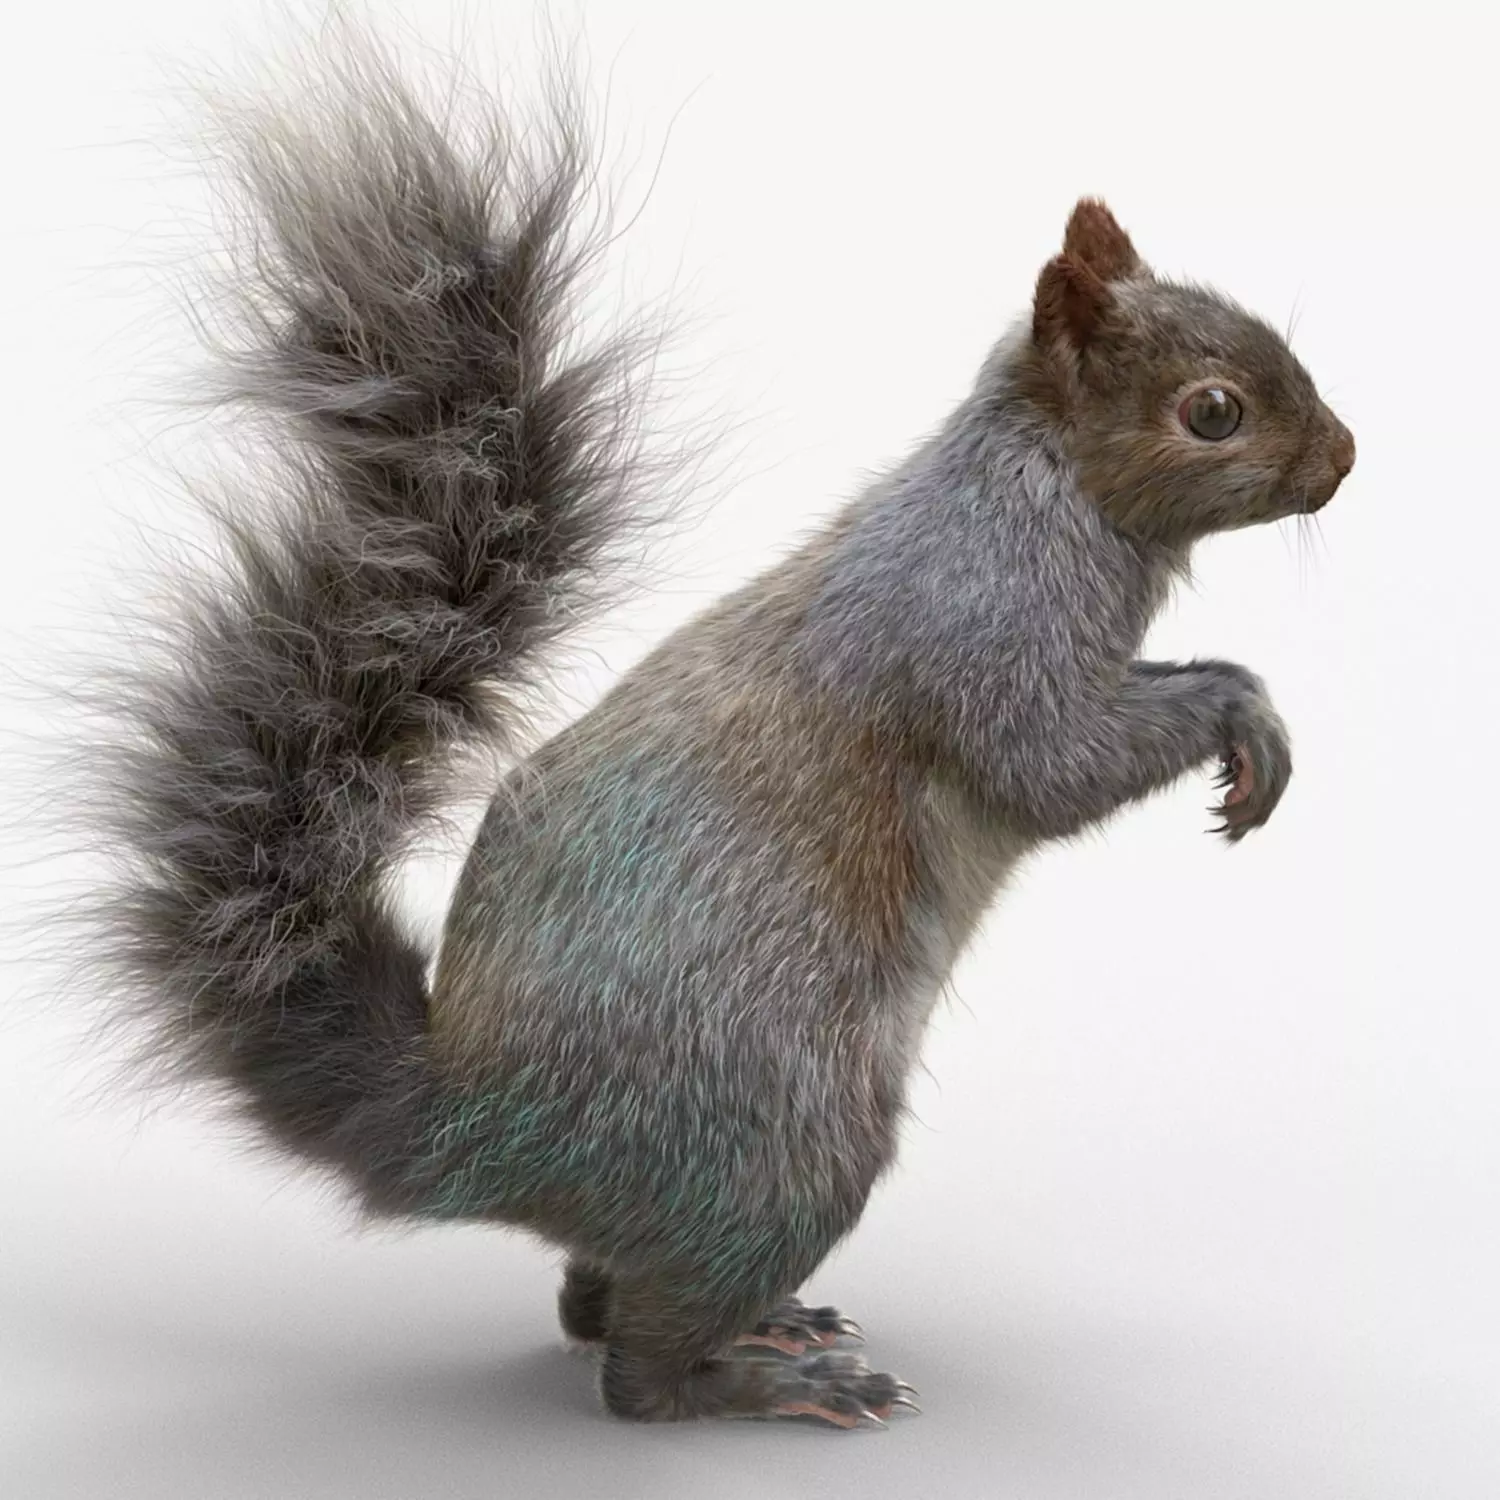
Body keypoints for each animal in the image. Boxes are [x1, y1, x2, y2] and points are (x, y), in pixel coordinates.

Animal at [77, 36, 1354, 1432]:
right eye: (1213, 411)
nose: (1345, 459)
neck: (1040, 489)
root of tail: (472, 1128)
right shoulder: (982, 633)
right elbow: (1053, 763)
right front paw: (1238, 711)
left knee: (590, 1295)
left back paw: (765, 1325)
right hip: (792, 1144)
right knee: (634, 1377)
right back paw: (764, 1381)